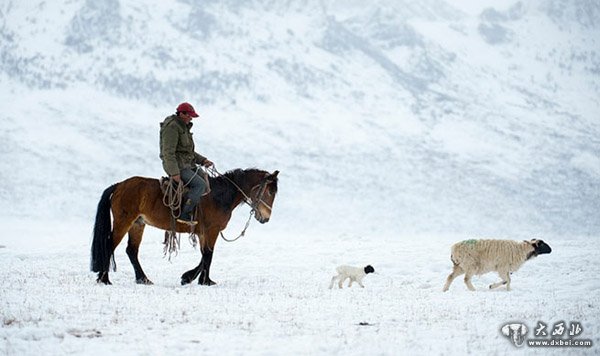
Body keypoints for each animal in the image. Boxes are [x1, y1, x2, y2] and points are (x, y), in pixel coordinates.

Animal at [90, 168, 278, 286]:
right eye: (270, 191)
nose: (266, 218)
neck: (219, 196)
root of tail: (119, 185)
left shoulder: (203, 233)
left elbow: (204, 255)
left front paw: (193, 278)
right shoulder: (212, 230)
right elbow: (208, 255)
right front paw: (202, 281)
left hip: (138, 224)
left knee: (131, 251)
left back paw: (143, 279)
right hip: (124, 222)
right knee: (109, 246)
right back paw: (104, 279)